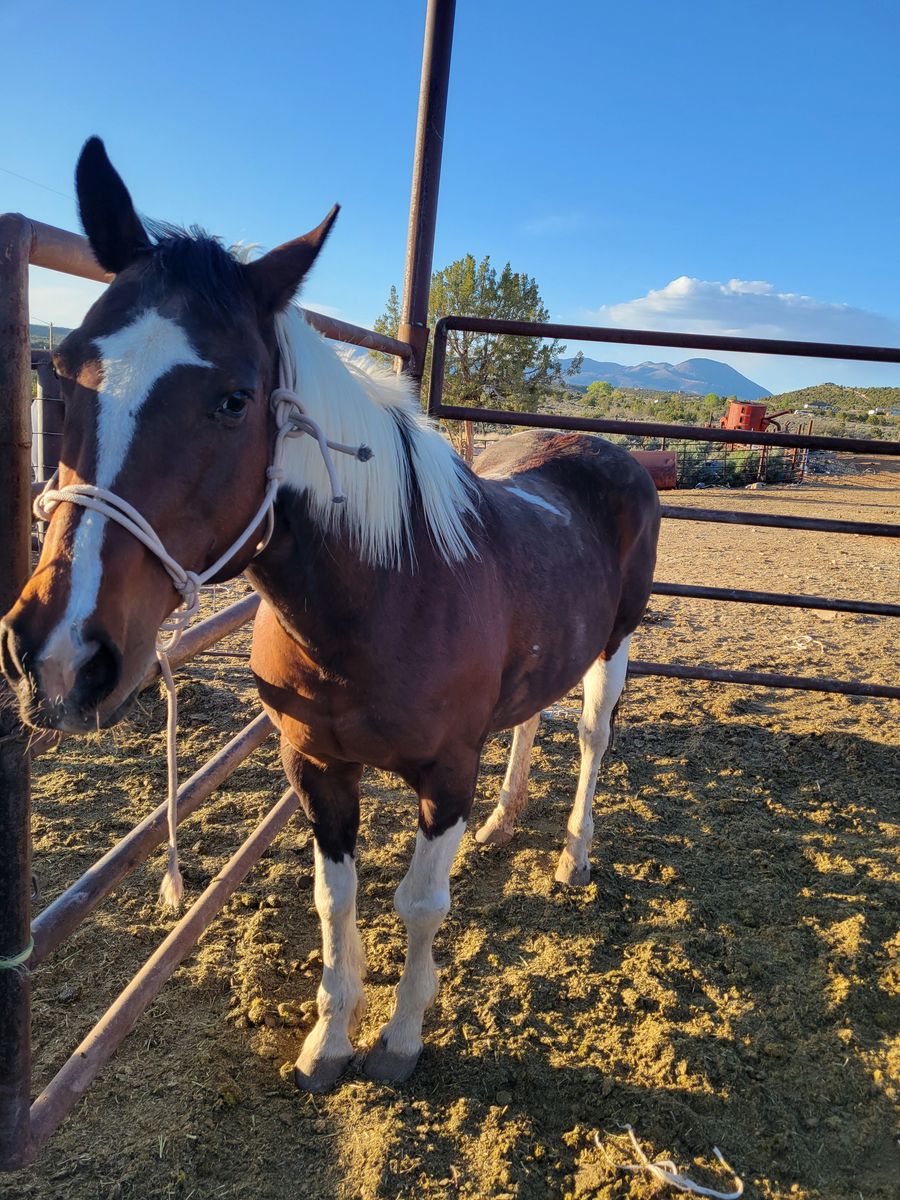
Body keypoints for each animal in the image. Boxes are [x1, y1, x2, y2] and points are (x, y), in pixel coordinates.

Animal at [0, 138, 660, 1092]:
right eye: (63, 370)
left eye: (235, 398)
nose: (58, 655)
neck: (383, 597)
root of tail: (610, 451)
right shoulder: (314, 767)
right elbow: (333, 897)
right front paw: (329, 1041)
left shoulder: (445, 775)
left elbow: (420, 903)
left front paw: (401, 1039)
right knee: (534, 720)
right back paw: (505, 823)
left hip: (616, 644)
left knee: (590, 736)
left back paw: (573, 855)